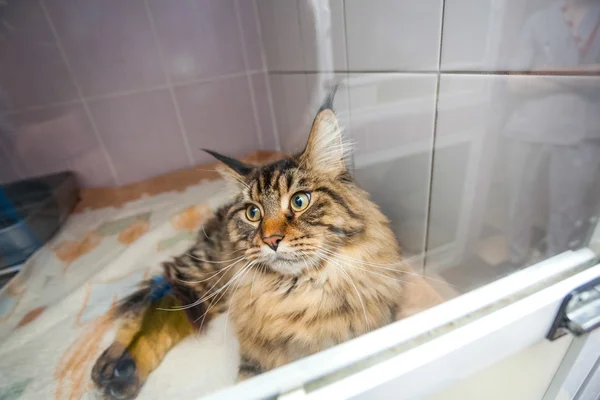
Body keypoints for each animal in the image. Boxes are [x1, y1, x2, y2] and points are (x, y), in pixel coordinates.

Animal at [91, 89, 408, 398]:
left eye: (300, 201)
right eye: (253, 213)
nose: (271, 240)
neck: (296, 295)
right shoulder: (255, 364)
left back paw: (121, 374)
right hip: (205, 274)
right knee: (154, 304)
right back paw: (115, 365)